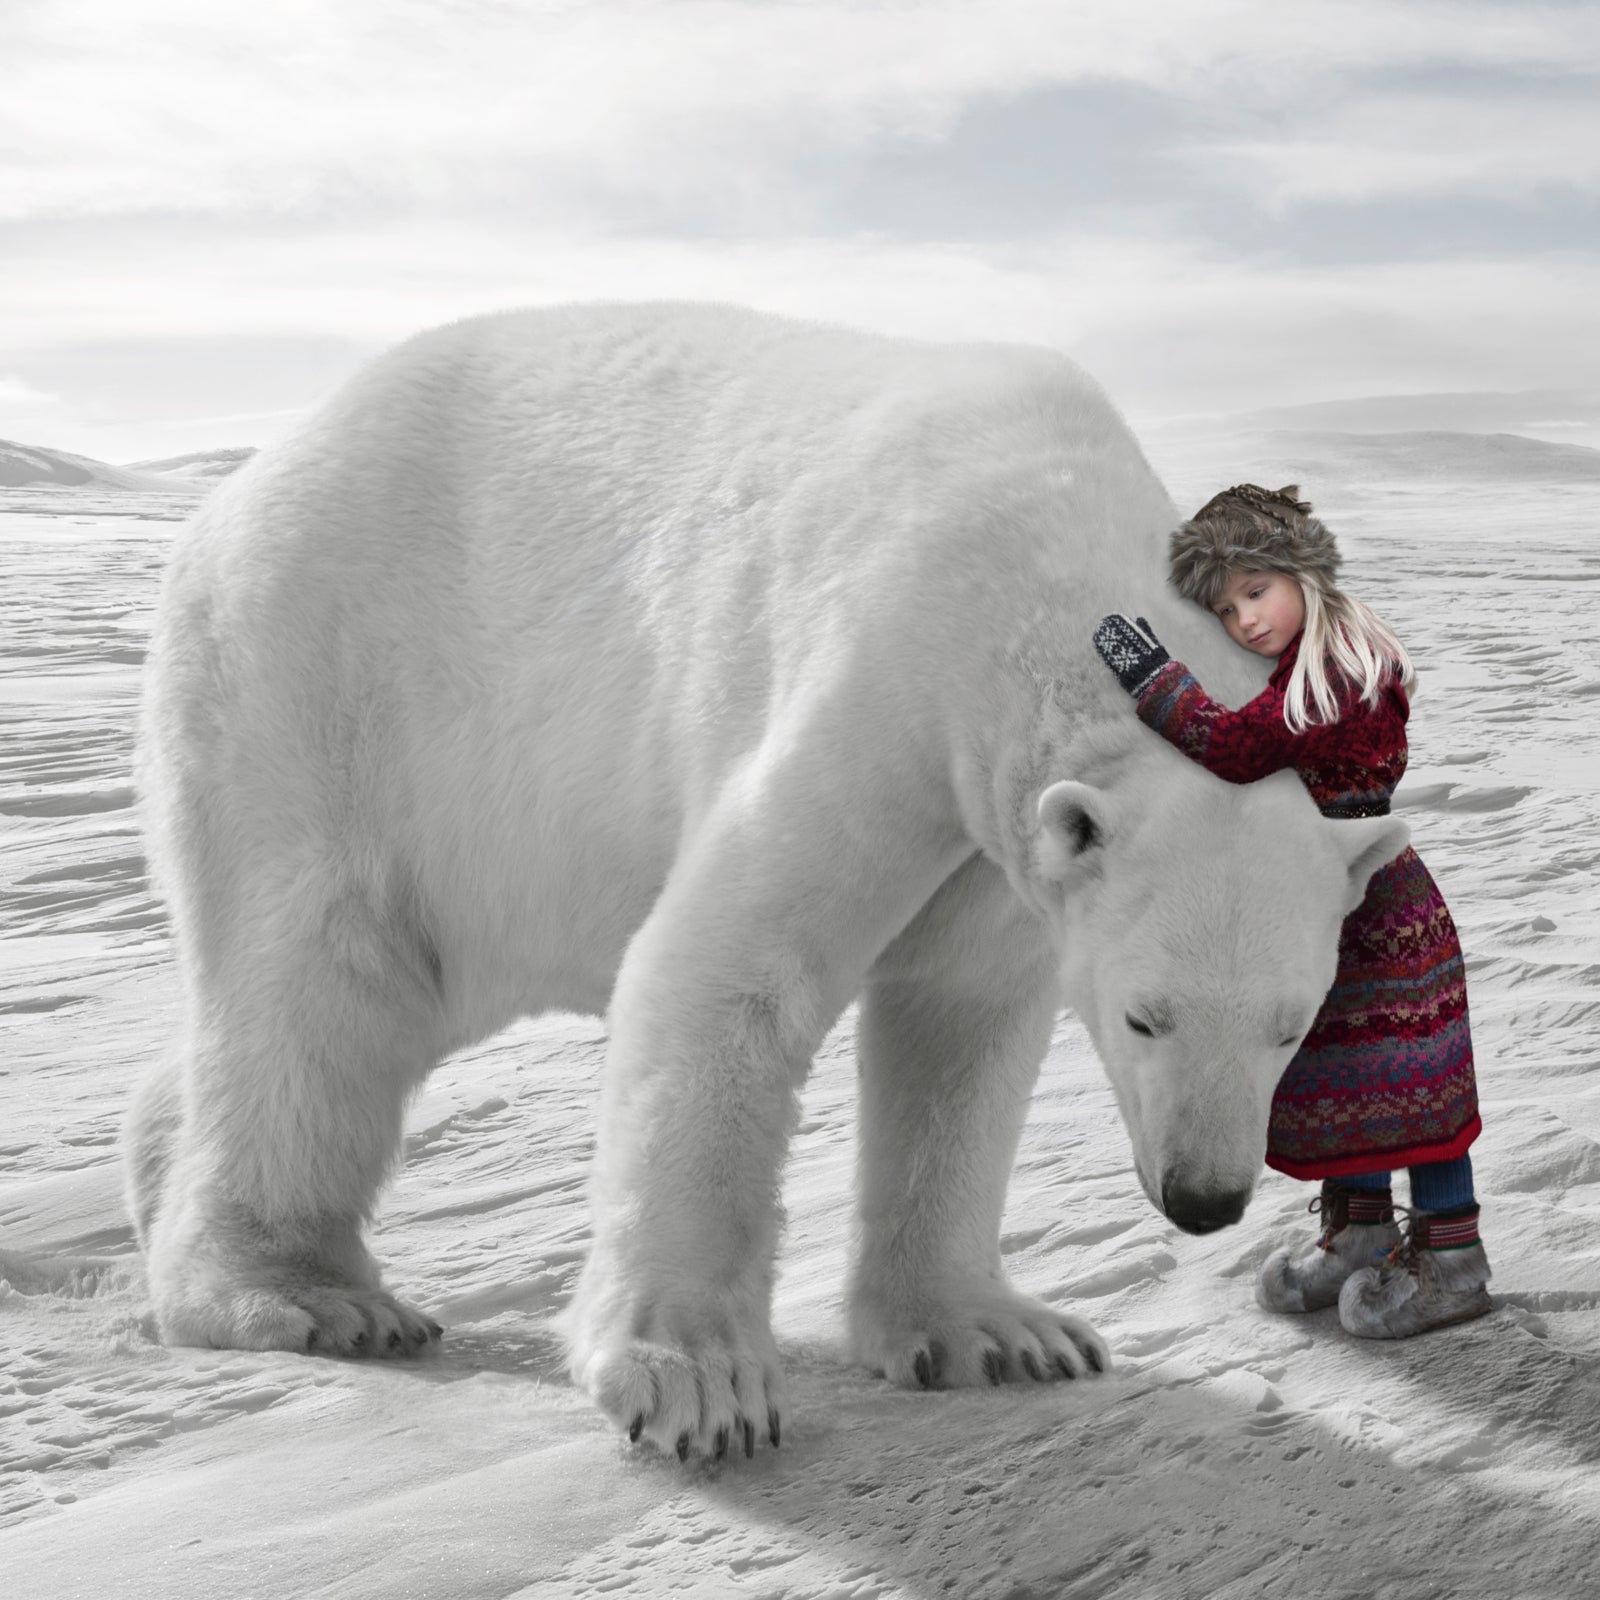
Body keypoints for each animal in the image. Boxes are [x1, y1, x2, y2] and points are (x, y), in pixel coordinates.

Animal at [128, 302, 1401, 1465]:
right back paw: (303, 1293)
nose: (1203, 1197)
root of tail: (241, 492)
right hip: (325, 694)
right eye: (1144, 1016)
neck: (1044, 550)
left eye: (1291, 1024)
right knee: (321, 985)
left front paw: (997, 1334)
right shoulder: (889, 680)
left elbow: (960, 1024)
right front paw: (694, 1383)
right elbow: (735, 972)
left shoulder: (995, 840)